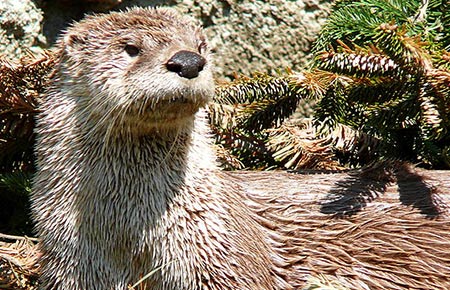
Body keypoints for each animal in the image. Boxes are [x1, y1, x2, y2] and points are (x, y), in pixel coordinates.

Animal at [31, 5, 450, 290]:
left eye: (201, 45)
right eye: (130, 48)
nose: (188, 61)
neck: (129, 232)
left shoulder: (221, 255)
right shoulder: (72, 261)